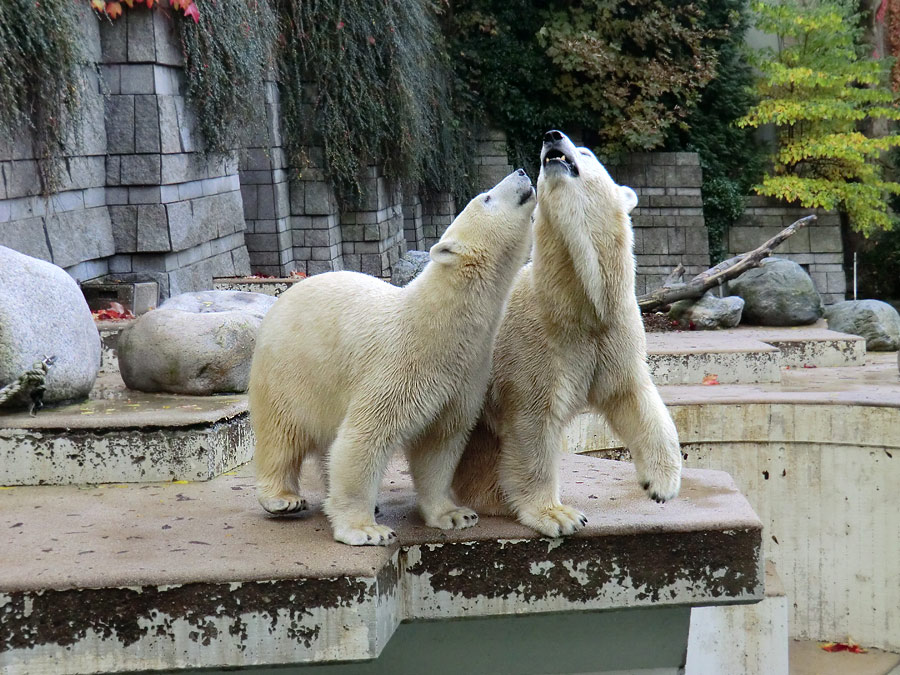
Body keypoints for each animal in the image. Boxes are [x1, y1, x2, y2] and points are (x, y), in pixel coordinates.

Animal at [250, 172, 536, 548]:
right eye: (486, 198)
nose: (522, 173)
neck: (436, 327)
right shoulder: (396, 367)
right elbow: (364, 438)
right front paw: (364, 530)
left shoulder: (463, 378)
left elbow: (439, 445)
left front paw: (454, 514)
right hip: (286, 369)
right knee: (280, 432)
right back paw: (283, 498)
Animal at [454, 129, 680, 536]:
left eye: (586, 152)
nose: (551, 136)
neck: (575, 305)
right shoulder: (534, 346)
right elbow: (532, 426)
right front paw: (557, 515)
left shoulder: (614, 331)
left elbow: (633, 394)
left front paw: (662, 483)